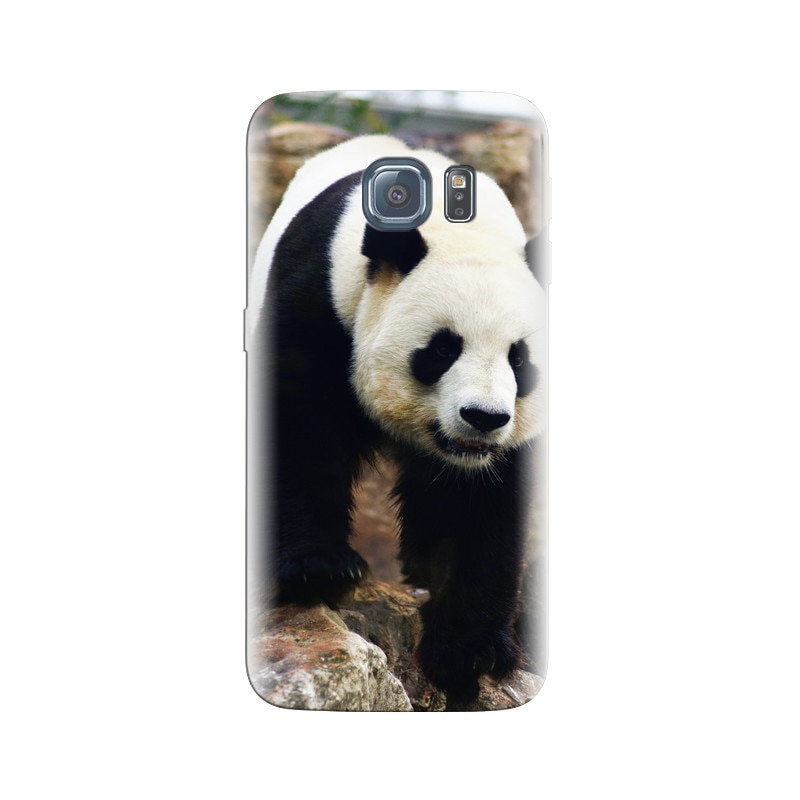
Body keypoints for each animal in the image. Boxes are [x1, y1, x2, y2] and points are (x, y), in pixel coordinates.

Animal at [247, 135, 546, 700]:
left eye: (519, 358)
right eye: (443, 348)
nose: (482, 417)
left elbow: (483, 503)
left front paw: (469, 649)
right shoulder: (320, 304)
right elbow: (300, 429)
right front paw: (317, 569)